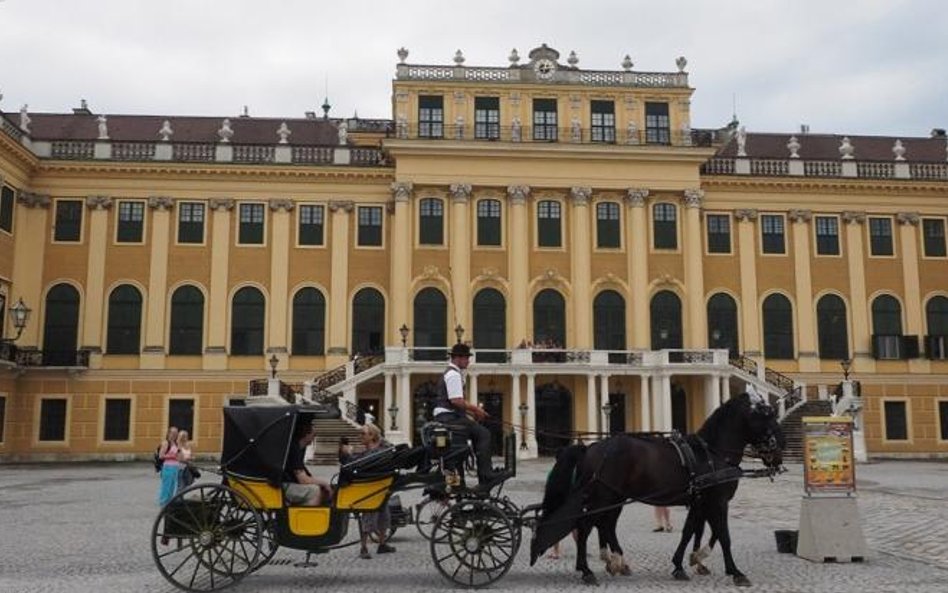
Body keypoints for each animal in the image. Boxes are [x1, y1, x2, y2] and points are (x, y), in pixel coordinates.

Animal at [532, 390, 784, 584]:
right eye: (767, 415)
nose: (779, 454)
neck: (713, 453)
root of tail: (590, 447)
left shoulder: (700, 502)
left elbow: (692, 531)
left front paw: (685, 563)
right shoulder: (717, 501)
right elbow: (723, 534)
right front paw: (735, 572)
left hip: (613, 498)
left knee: (605, 526)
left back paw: (617, 563)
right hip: (602, 497)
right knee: (585, 527)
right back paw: (587, 570)